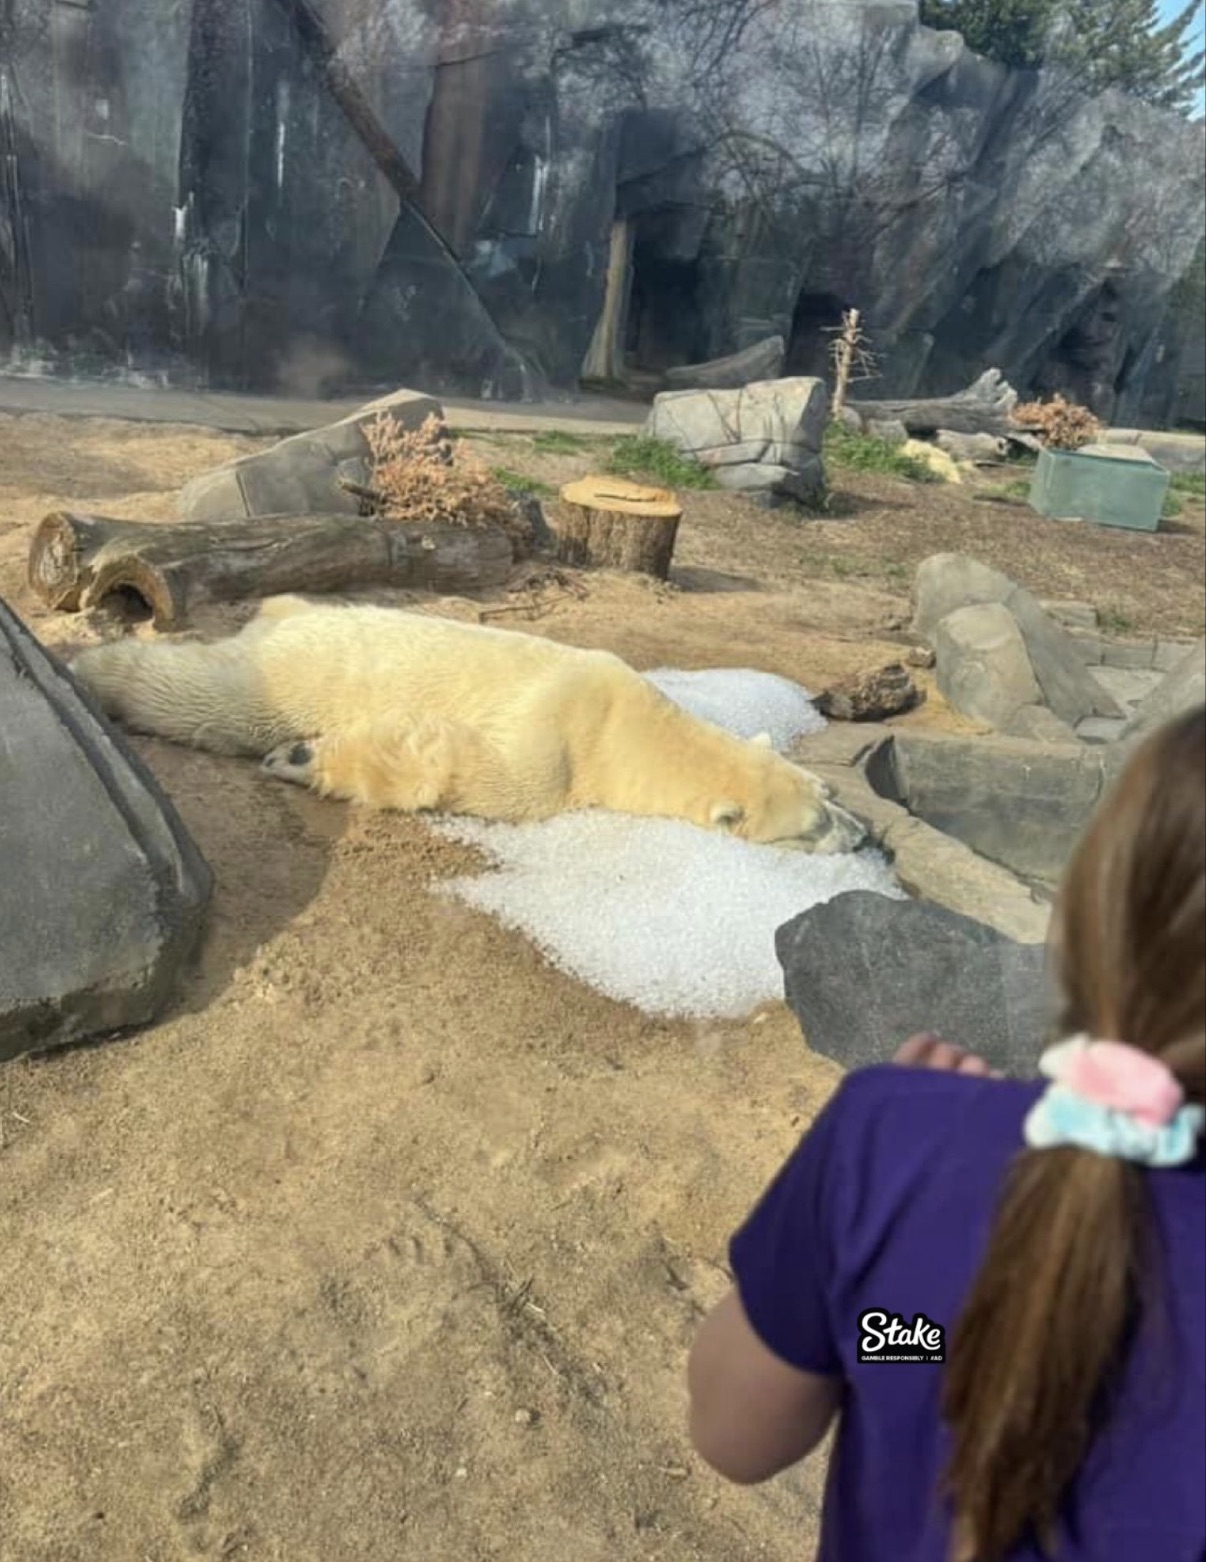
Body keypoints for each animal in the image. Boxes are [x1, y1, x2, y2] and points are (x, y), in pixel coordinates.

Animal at [70, 593, 868, 855]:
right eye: (812, 826)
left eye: (828, 797)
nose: (862, 837)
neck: (635, 723)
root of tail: (285, 613)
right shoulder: (561, 738)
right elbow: (480, 772)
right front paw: (304, 757)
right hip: (293, 670)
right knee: (210, 697)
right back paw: (95, 672)